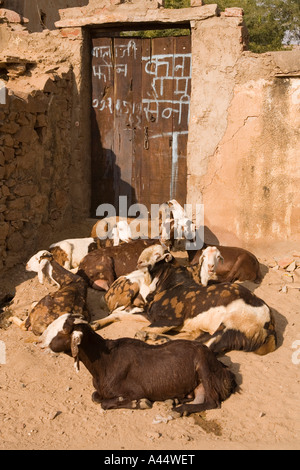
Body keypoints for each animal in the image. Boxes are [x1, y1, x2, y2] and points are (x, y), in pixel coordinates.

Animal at [40, 312, 237, 414]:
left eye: (61, 333)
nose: (41, 341)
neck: (105, 361)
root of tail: (225, 371)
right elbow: (96, 396)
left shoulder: (135, 391)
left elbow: (105, 403)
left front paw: (141, 403)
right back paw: (176, 400)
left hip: (204, 367)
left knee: (213, 402)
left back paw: (182, 409)